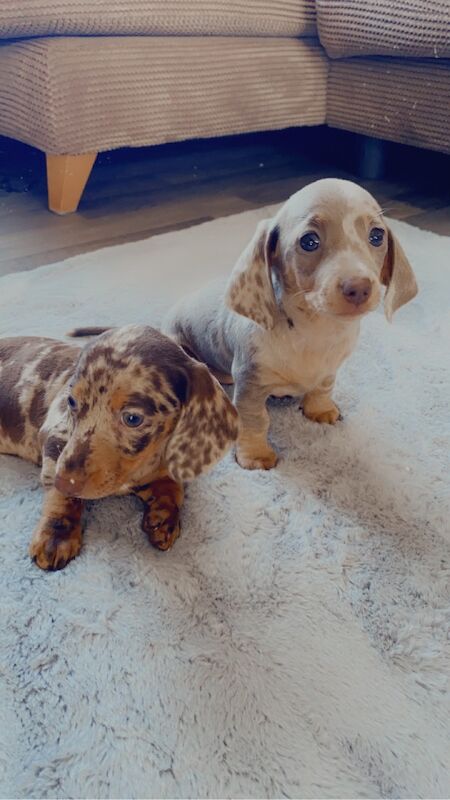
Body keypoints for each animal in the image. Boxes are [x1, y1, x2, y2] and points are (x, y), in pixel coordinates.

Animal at [0, 324, 239, 568]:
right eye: (71, 401)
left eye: (132, 418)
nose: (64, 482)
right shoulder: (56, 436)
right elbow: (61, 496)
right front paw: (58, 534)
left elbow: (172, 488)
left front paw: (165, 516)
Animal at [163, 177, 418, 468]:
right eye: (309, 241)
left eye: (377, 236)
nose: (359, 288)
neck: (315, 330)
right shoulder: (250, 383)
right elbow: (255, 420)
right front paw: (255, 454)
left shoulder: (330, 369)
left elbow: (323, 388)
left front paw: (320, 410)